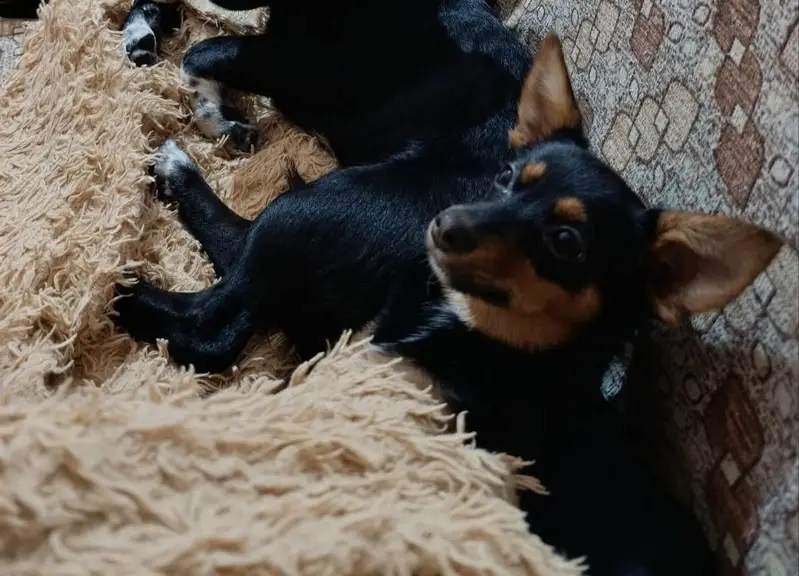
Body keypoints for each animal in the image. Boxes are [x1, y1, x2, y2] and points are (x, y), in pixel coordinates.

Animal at [115, 1, 783, 573]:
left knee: (219, 316)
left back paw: (158, 219)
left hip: (314, 205)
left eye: (567, 241)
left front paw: (207, 106)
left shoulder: (295, 63)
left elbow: (206, 51)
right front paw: (160, 45)